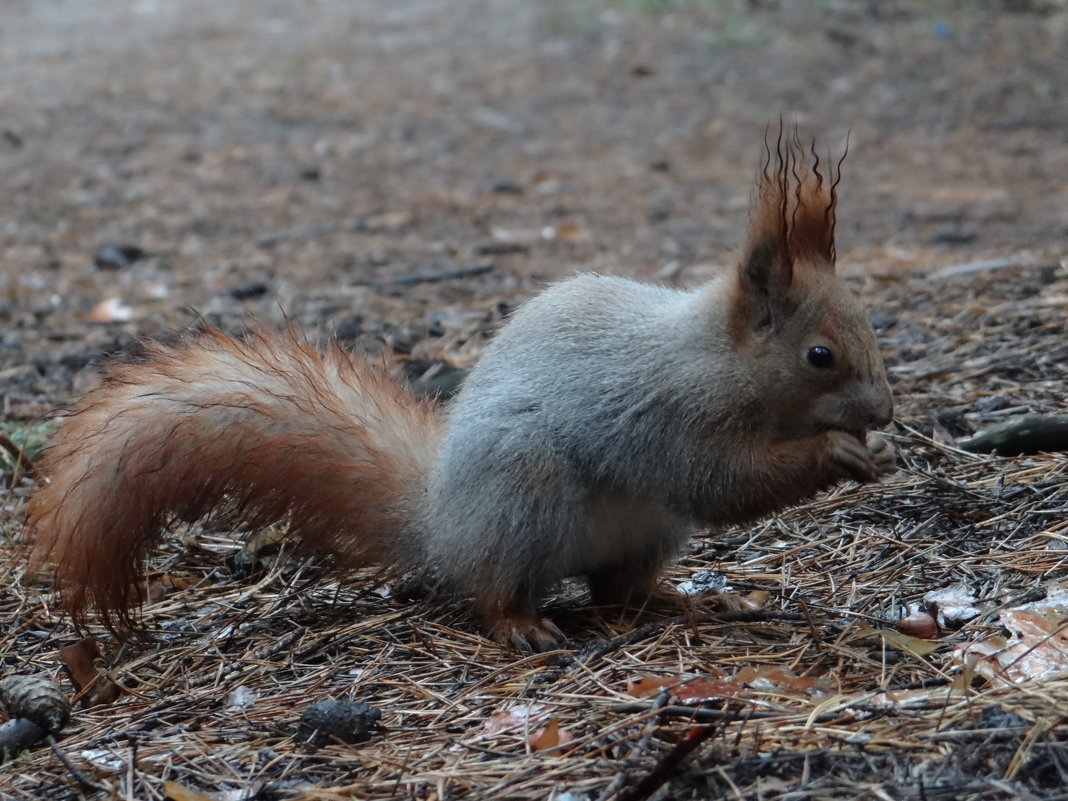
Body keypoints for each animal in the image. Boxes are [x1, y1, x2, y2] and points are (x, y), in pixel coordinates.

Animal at [25, 135, 892, 653]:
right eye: (820, 355)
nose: (884, 412)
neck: (713, 356)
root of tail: (442, 526)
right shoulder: (664, 414)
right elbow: (717, 481)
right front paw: (836, 453)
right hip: (525, 496)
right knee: (496, 589)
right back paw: (523, 625)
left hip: (644, 531)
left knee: (620, 591)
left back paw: (684, 603)